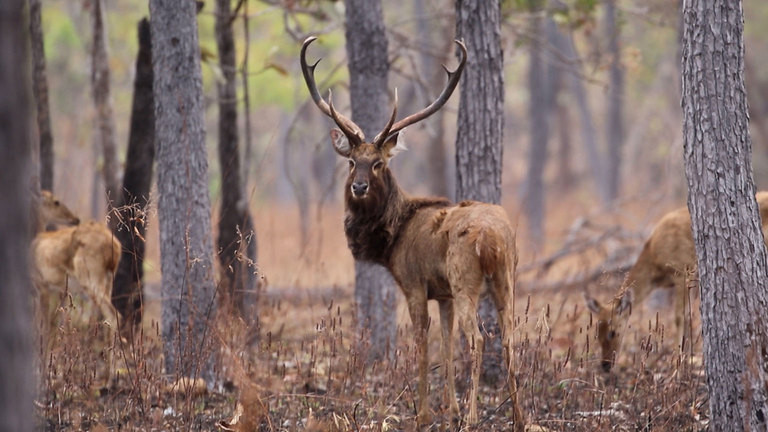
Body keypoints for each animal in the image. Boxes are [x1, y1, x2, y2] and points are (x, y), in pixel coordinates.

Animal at [32, 190, 122, 360]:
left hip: (91, 278)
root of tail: (114, 246)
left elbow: (43, 326)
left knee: (114, 315)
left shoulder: (43, 285)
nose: (75, 218)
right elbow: (52, 327)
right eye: (56, 202)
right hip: (109, 280)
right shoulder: (60, 291)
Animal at [301, 36, 524, 429]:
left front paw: (424, 413)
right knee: (510, 337)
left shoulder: (414, 283)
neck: (393, 238)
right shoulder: (443, 293)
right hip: (506, 277)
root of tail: (491, 239)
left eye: (378, 163)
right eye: (351, 161)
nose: (358, 186)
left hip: (466, 277)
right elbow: (446, 345)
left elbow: (422, 345)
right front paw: (449, 409)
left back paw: (473, 416)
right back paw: (520, 416)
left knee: (478, 339)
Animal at [584, 191, 768, 372]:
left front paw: (678, 362)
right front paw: (689, 357)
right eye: (596, 333)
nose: (605, 365)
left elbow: (680, 317)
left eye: (613, 332)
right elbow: (689, 316)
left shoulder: (682, 271)